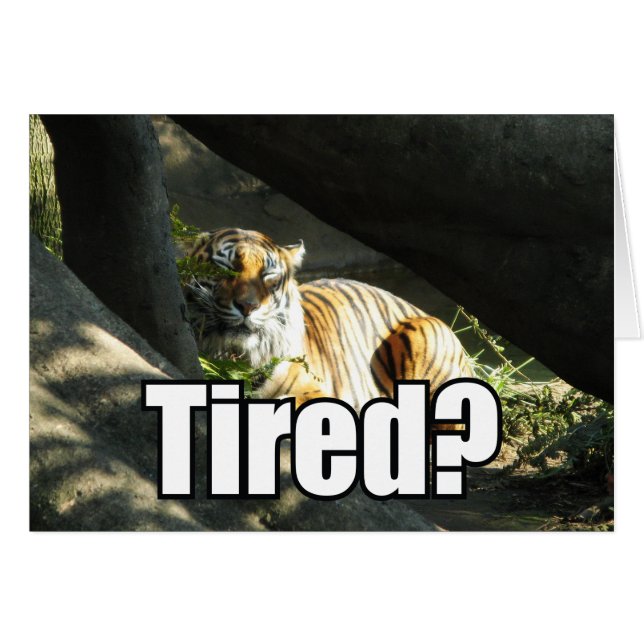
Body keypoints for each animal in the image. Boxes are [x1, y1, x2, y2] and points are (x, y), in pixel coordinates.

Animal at [183, 227, 472, 410]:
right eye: (226, 268)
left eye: (268, 276)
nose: (248, 306)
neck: (234, 356)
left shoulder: (311, 388)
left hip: (424, 336)